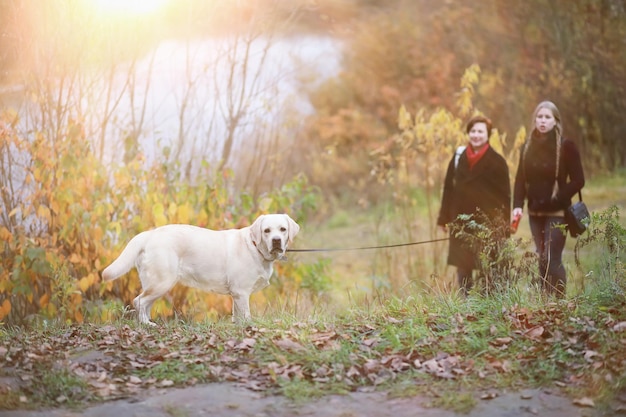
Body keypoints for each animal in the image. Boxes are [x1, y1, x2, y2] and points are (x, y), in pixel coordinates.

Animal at [100, 214, 300, 324]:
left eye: (282, 229)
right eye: (267, 231)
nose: (276, 240)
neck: (254, 246)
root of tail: (149, 234)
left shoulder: (236, 295)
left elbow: (237, 316)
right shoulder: (242, 292)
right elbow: (246, 316)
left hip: (156, 283)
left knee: (144, 304)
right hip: (162, 282)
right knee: (139, 301)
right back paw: (147, 325)